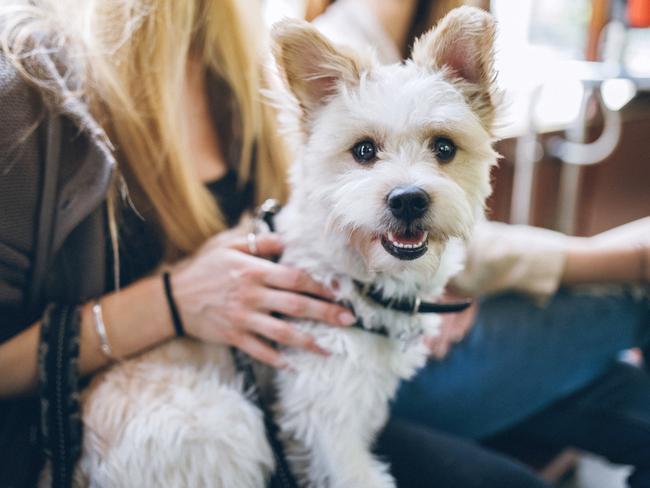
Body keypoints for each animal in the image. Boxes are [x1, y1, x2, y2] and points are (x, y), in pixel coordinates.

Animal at [74, 7, 502, 488]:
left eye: (444, 147)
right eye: (363, 151)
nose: (408, 199)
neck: (350, 273)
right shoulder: (324, 409)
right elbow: (354, 473)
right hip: (229, 424)